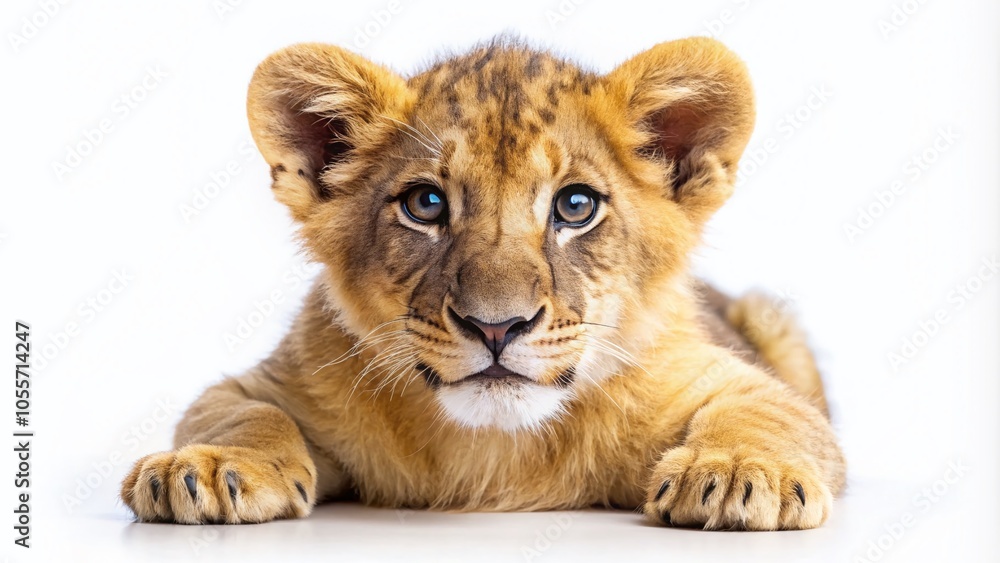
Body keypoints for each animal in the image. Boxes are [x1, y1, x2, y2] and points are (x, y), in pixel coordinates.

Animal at [121, 36, 845, 530]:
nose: (497, 327)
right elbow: (243, 412)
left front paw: (737, 470)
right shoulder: (272, 380)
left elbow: (766, 412)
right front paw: (208, 465)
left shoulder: (734, 376)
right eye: (426, 204)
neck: (494, 448)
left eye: (575, 206)